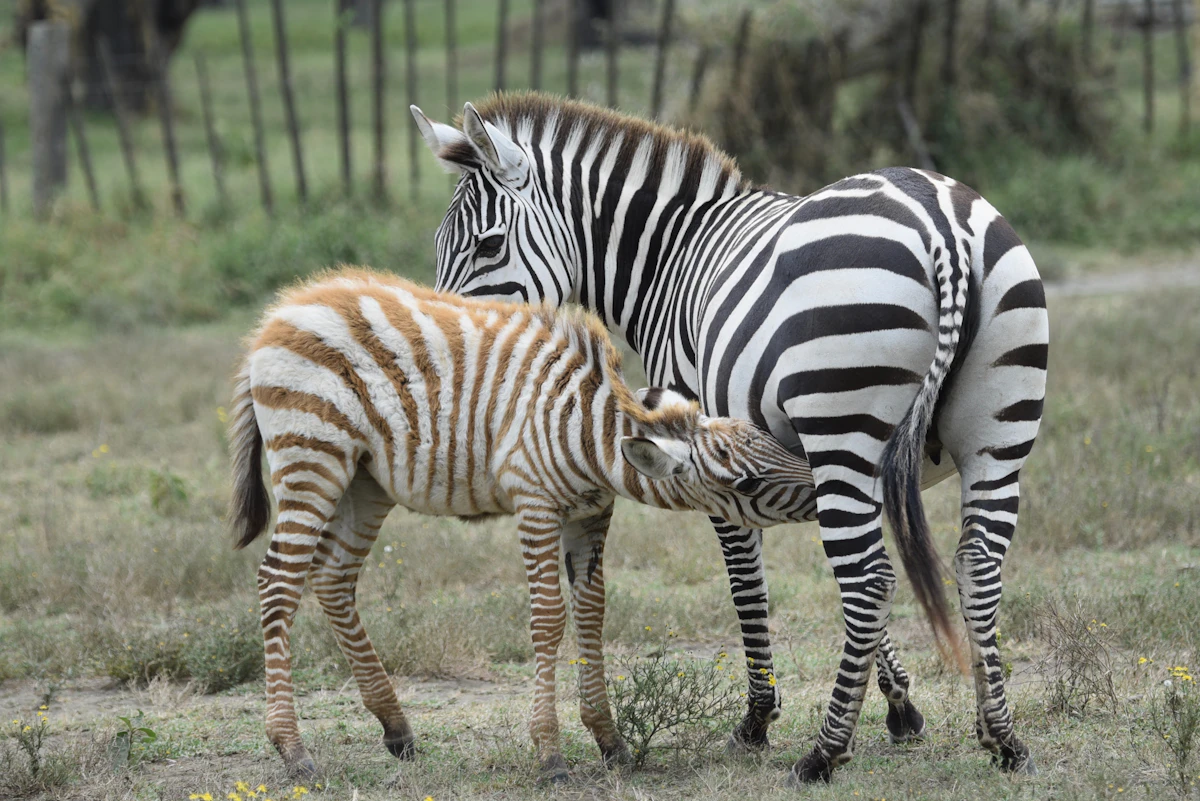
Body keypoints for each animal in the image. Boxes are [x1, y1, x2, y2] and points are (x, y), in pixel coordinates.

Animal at [227, 267, 818, 780]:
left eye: (769, 443)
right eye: (747, 483)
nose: (823, 488)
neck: (586, 433)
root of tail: (277, 317)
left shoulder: (591, 514)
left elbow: (592, 613)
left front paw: (610, 742)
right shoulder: (534, 502)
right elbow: (548, 617)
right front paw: (550, 754)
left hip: (365, 481)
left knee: (332, 578)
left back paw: (396, 729)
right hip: (312, 455)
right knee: (278, 583)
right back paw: (292, 750)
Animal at [411, 93, 1049, 781]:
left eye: (488, 245)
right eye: (441, 247)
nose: (442, 351)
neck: (672, 257)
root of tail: (939, 222)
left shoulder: (712, 458)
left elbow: (748, 586)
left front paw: (758, 721)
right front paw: (901, 707)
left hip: (845, 428)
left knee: (870, 579)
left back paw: (823, 753)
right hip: (994, 435)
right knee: (974, 564)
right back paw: (1002, 737)